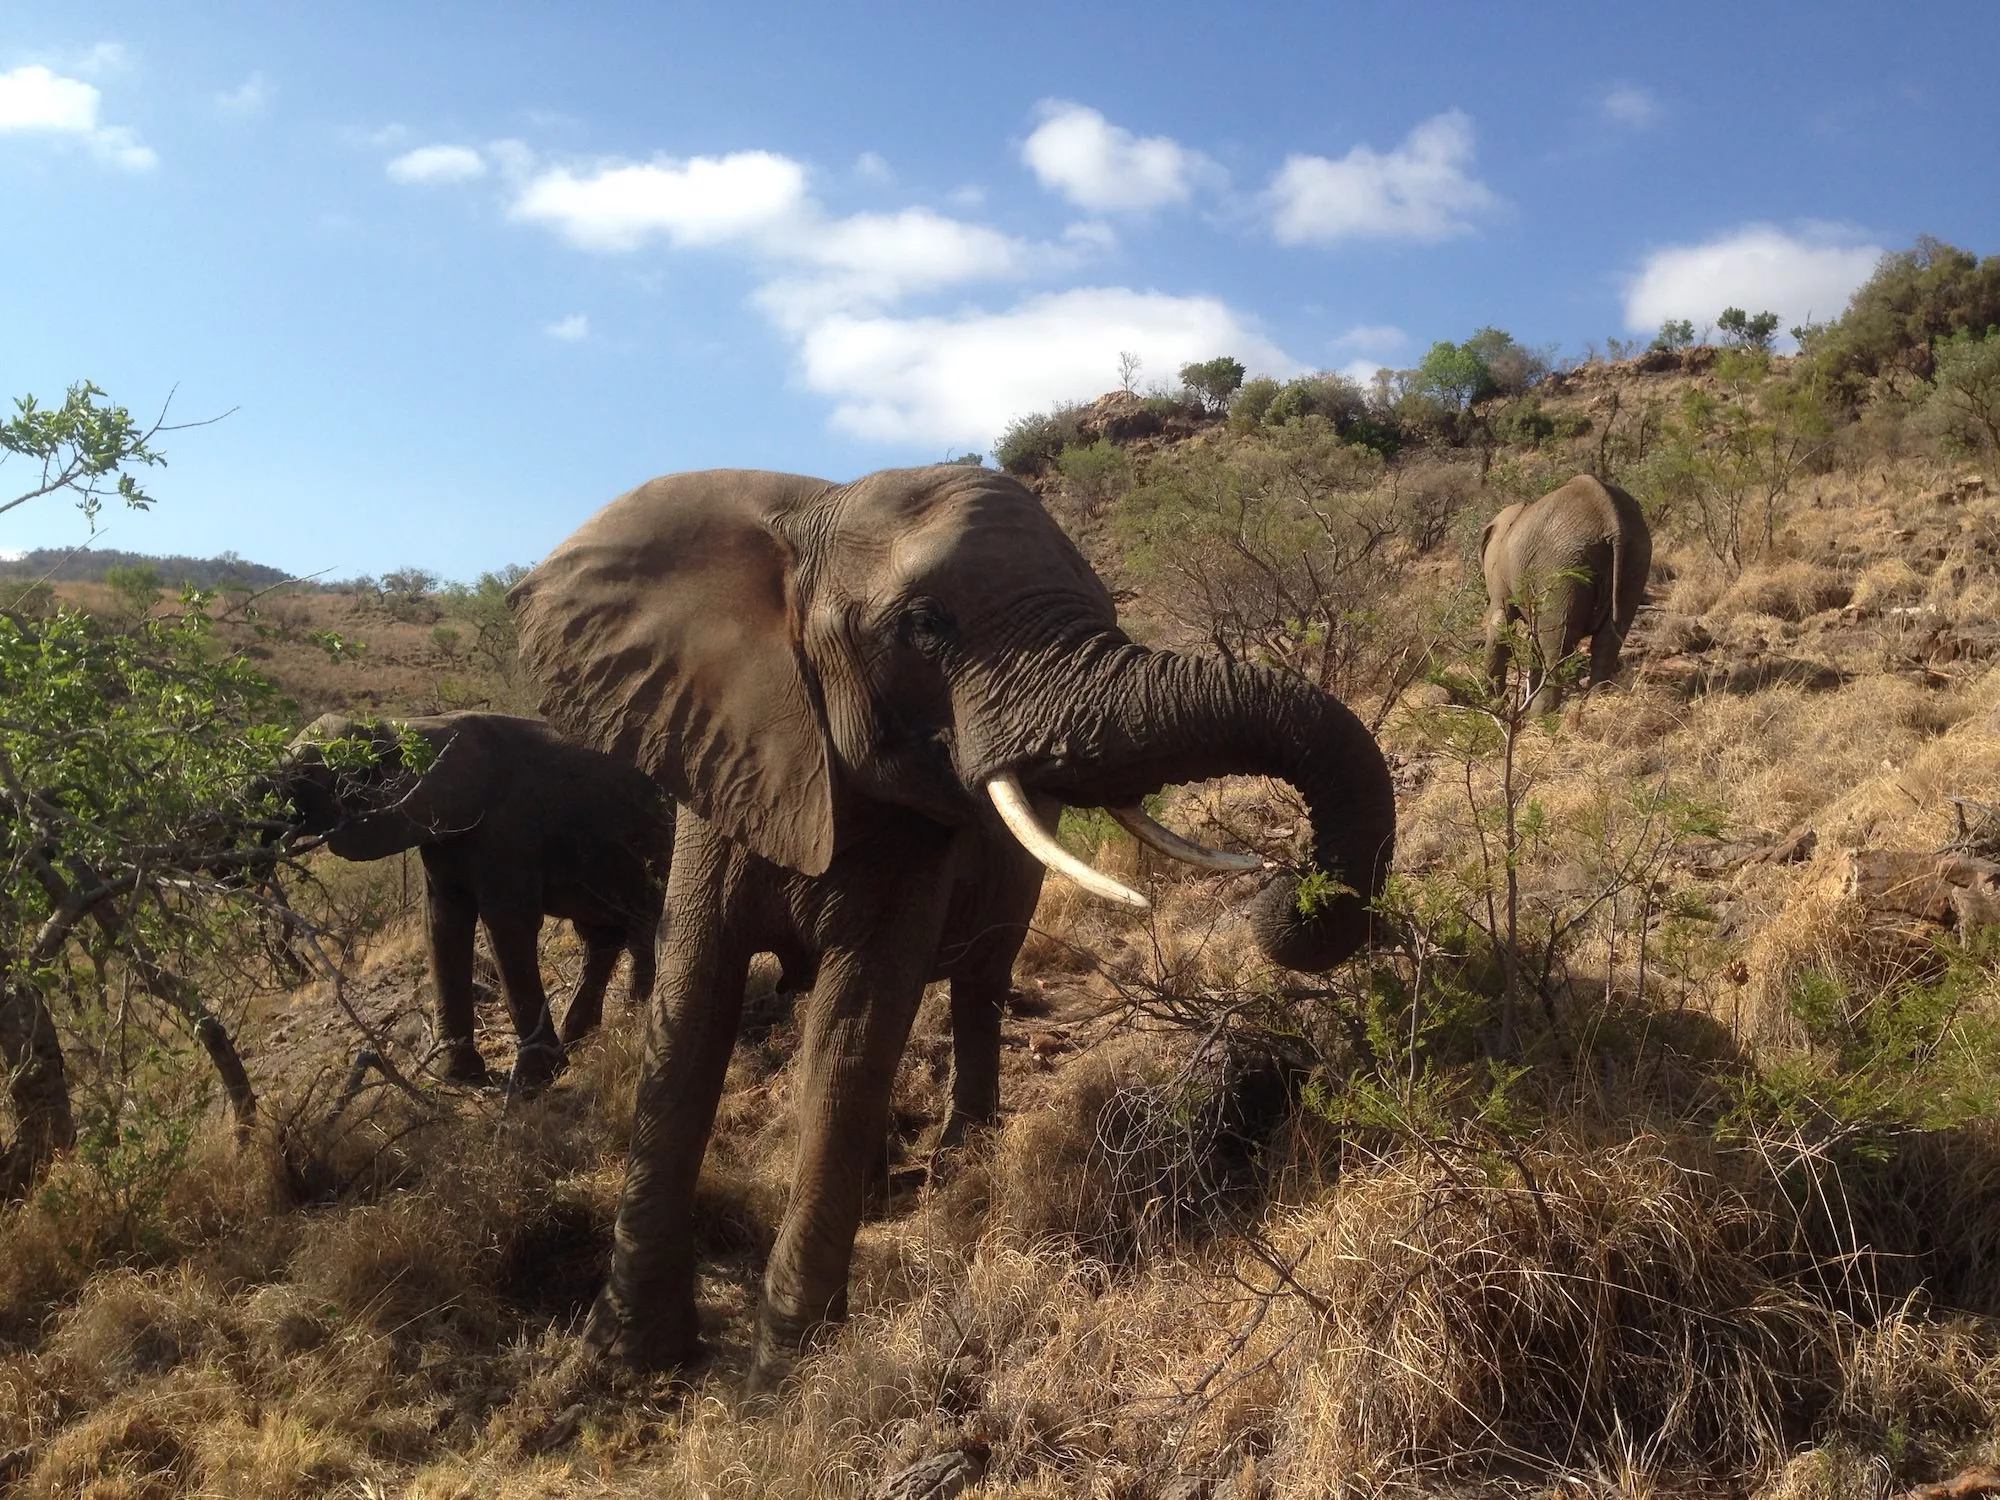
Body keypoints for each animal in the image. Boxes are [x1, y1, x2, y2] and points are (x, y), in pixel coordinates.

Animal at [266, 712, 676, 1088]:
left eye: (303, 779)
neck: (411, 726)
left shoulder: (508, 828)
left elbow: (507, 924)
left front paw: (533, 1081)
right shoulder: (443, 837)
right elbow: (442, 924)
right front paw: (459, 1077)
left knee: (642, 930)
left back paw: (629, 1025)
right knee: (600, 939)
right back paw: (583, 1043)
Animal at [508, 468, 1400, 1384]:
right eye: (925, 626)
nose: (1283, 885)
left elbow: (852, 1027)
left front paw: (787, 1373)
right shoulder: (717, 770)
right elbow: (690, 1015)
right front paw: (624, 1362)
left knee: (972, 989)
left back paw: (957, 1161)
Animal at [1480, 478, 1648, 720]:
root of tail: (1611, 520)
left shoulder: (1500, 575)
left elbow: (1501, 624)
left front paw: (1493, 705)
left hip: (1562, 565)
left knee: (1557, 645)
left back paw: (1539, 717)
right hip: (1636, 557)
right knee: (1608, 641)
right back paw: (1595, 705)